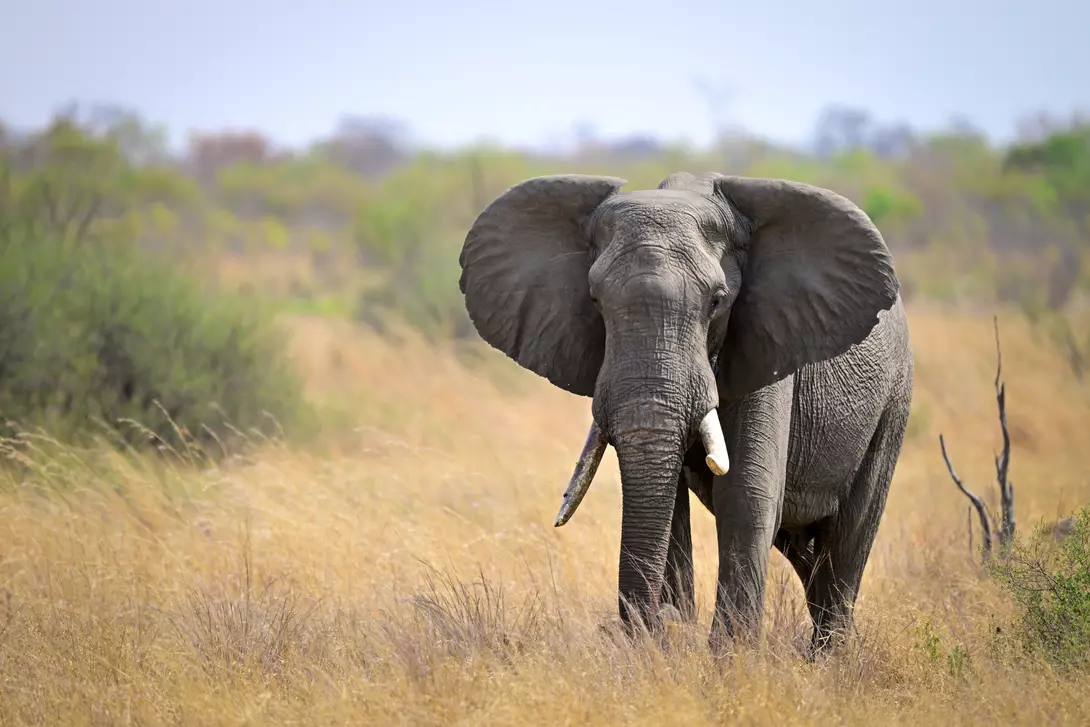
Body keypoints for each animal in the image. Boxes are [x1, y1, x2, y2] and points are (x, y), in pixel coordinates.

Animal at [458, 171, 914, 654]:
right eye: (595, 301)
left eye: (716, 301)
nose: (658, 627)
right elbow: (670, 504)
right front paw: (674, 642)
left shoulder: (769, 344)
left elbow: (746, 494)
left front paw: (730, 659)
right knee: (806, 553)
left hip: (893, 402)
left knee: (848, 539)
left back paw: (830, 659)